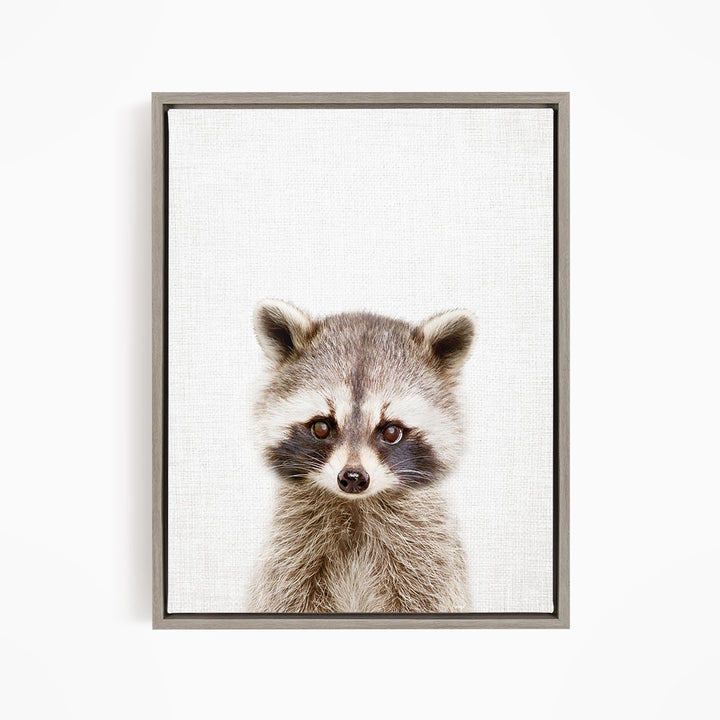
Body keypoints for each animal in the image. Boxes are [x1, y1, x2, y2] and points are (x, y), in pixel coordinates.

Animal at [247, 299, 475, 613]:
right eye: (321, 427)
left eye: (391, 432)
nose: (353, 478)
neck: (355, 506)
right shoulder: (289, 554)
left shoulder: (429, 557)